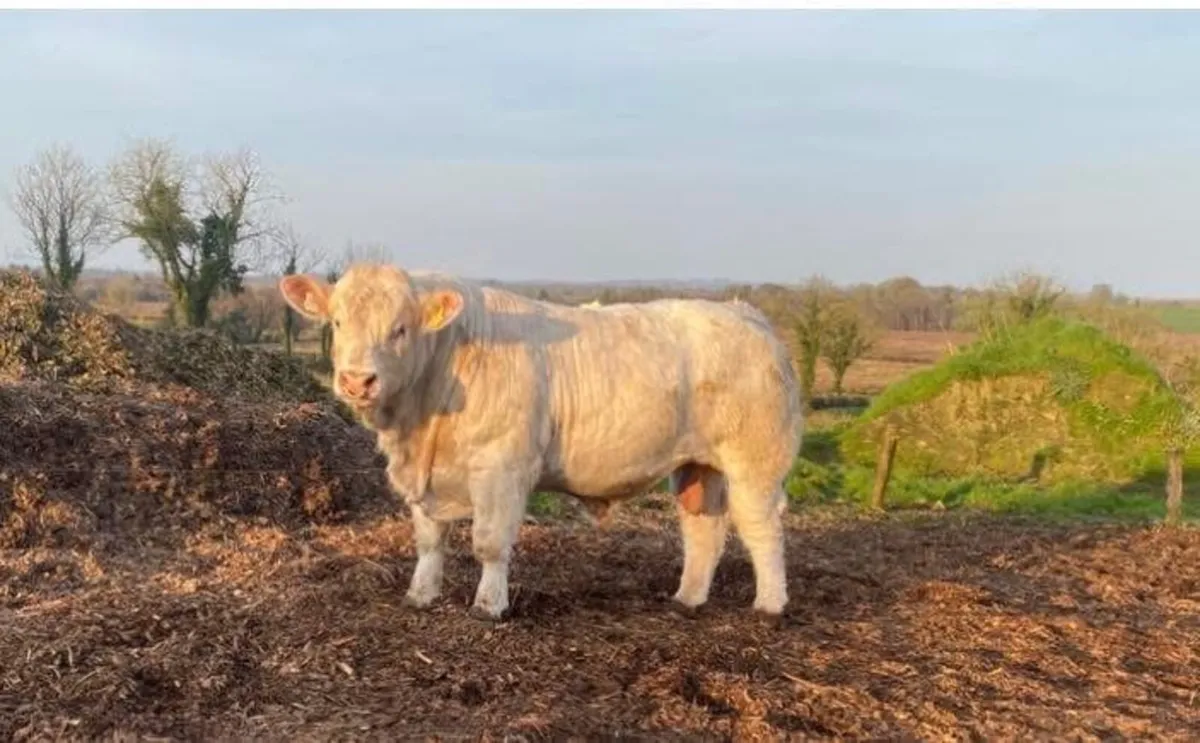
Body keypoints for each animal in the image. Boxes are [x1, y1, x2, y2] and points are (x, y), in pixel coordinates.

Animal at [279, 263, 802, 621]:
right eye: (337, 323)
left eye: (399, 328)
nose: (357, 380)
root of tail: (745, 313)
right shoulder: (424, 480)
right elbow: (429, 541)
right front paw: (420, 594)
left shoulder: (501, 468)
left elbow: (489, 543)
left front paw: (488, 605)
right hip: (699, 465)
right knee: (703, 529)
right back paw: (688, 598)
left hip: (756, 461)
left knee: (761, 528)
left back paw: (770, 605)